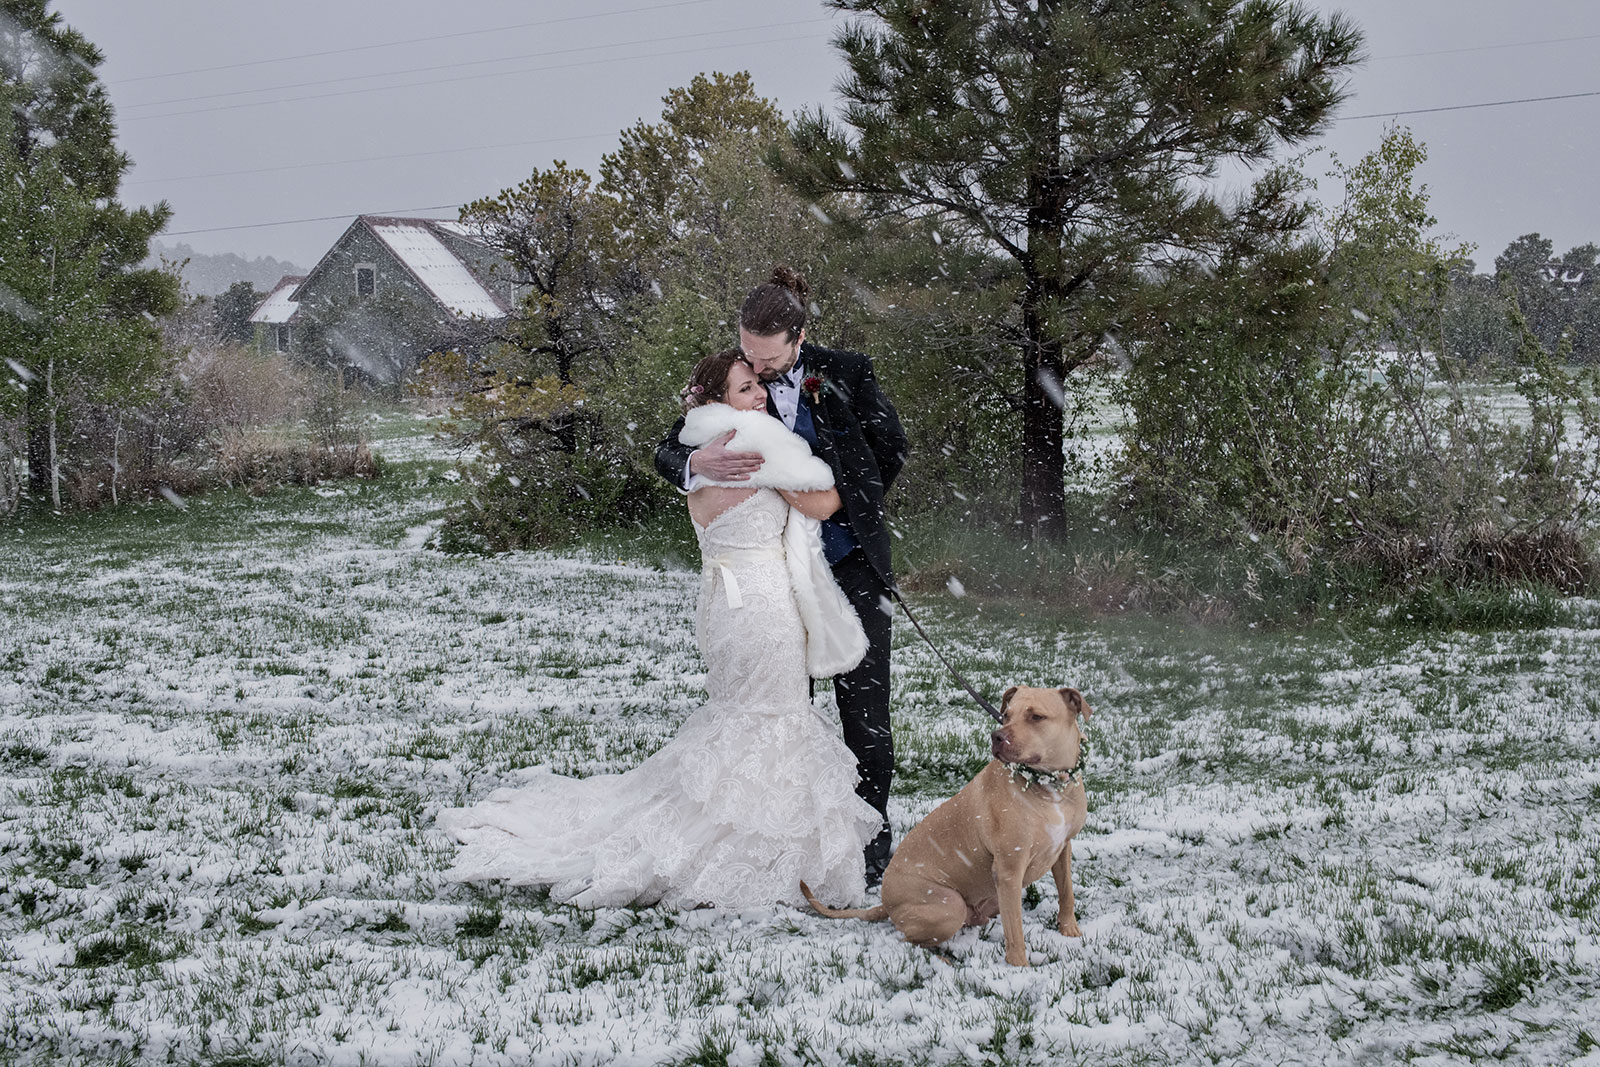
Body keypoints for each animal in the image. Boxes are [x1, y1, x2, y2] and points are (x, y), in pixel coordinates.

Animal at [800, 684, 1088, 966]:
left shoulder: (1063, 848)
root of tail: (885, 902)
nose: (997, 736)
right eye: (1006, 715)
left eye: (1036, 717)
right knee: (905, 939)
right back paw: (942, 958)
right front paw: (1019, 967)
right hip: (950, 904)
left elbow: (1067, 893)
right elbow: (1015, 930)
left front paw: (1069, 930)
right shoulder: (1009, 870)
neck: (1050, 786)